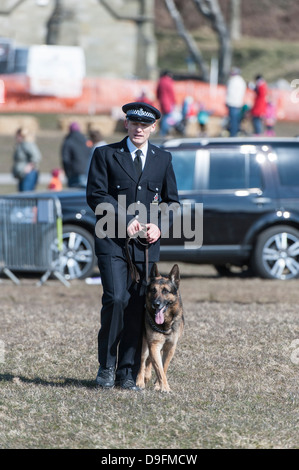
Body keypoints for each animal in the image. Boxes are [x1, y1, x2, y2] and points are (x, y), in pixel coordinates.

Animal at [137, 262, 184, 392]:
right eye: (153, 290)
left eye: (165, 291)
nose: (156, 304)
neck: (165, 325)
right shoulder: (154, 345)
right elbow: (159, 368)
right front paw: (165, 388)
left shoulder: (170, 347)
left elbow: (163, 367)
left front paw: (159, 385)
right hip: (144, 345)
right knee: (143, 360)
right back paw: (140, 381)